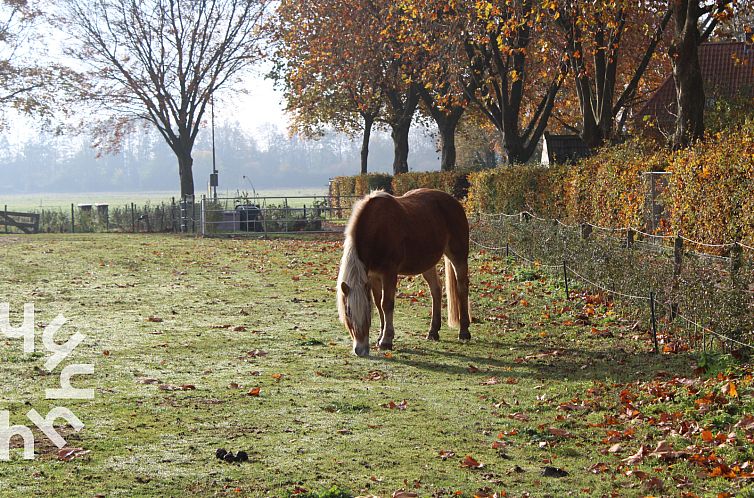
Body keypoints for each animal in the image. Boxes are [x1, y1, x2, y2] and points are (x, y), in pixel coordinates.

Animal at [336, 189, 470, 356]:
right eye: (348, 313)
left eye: (366, 312)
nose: (360, 350)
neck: (377, 229)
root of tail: (455, 202)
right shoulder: (373, 276)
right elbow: (378, 304)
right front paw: (380, 336)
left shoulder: (389, 273)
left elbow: (386, 303)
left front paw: (386, 340)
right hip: (427, 263)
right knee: (436, 290)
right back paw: (433, 332)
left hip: (458, 256)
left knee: (462, 288)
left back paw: (464, 332)